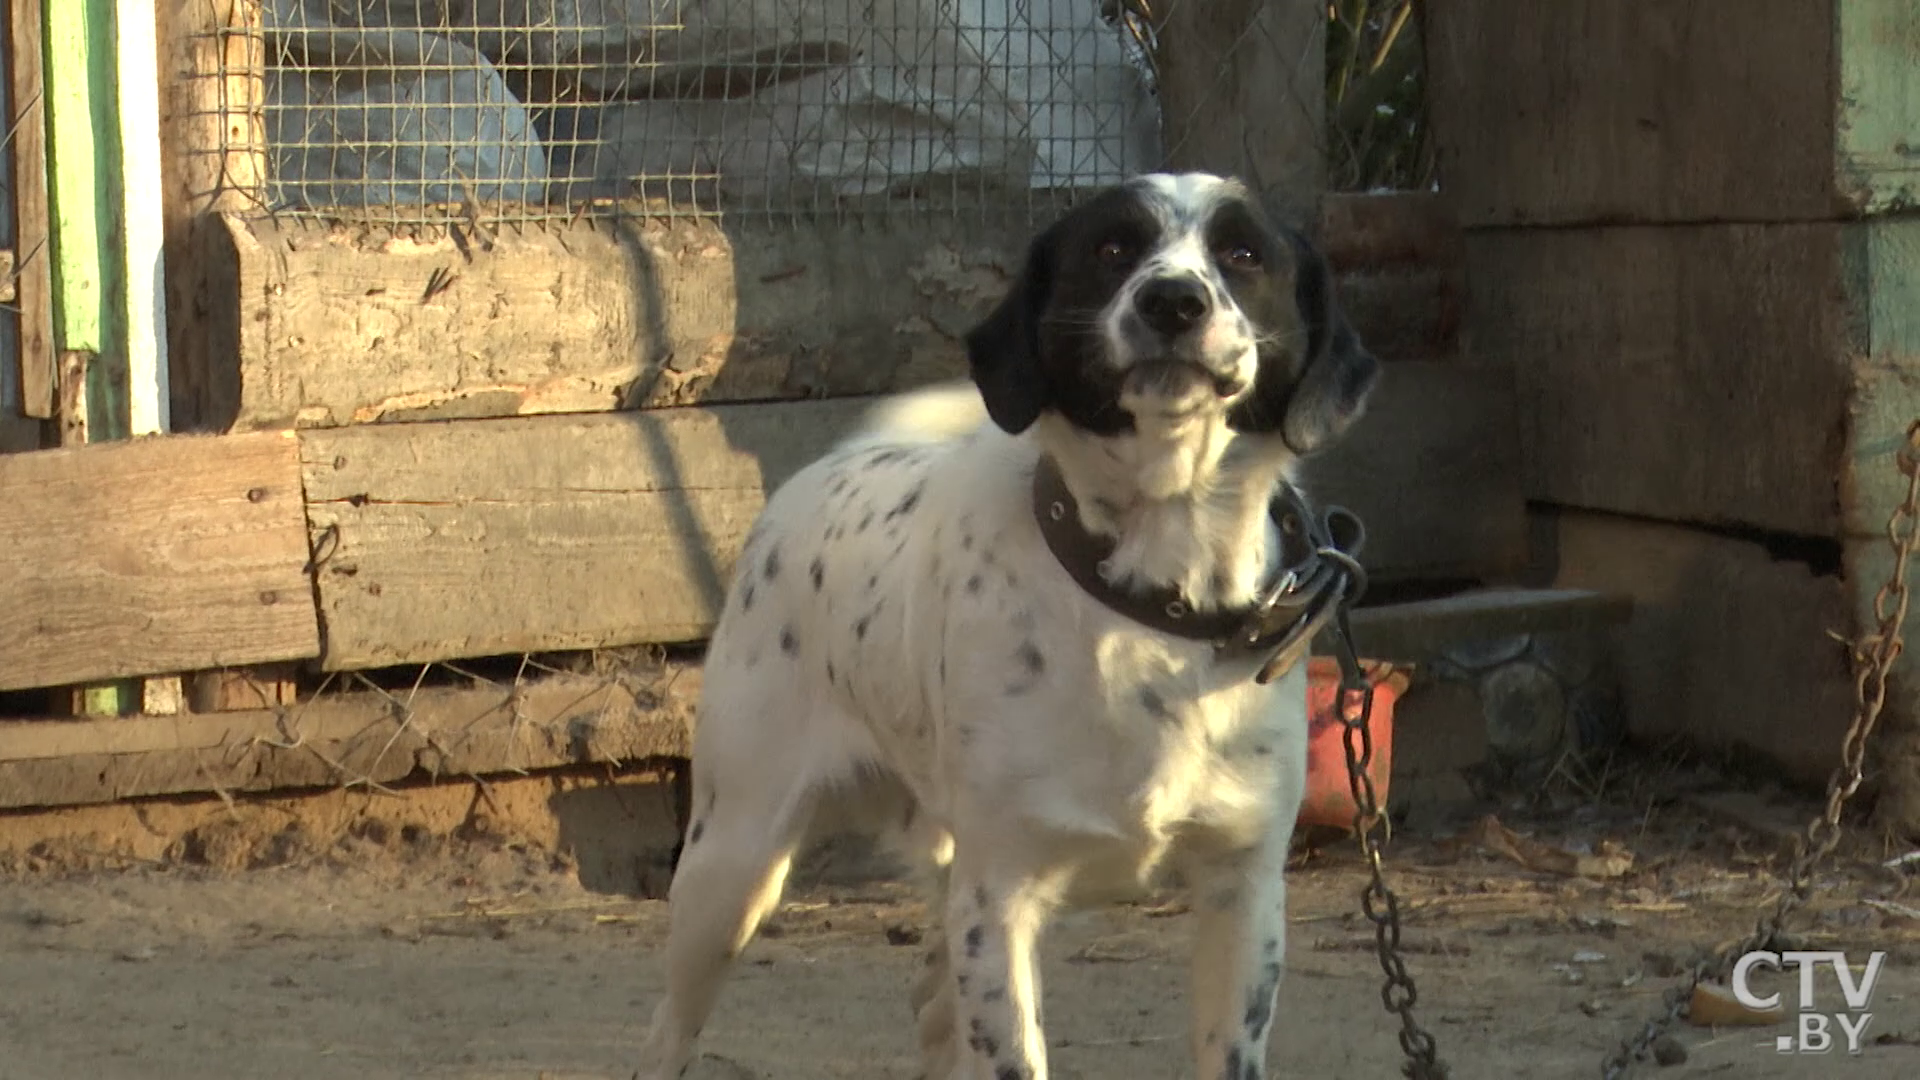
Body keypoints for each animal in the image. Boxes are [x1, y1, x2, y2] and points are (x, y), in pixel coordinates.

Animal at [645, 171, 1382, 1068]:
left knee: (932, 1007)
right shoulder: (1000, 899)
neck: (1143, 599)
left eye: (1244, 254)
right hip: (732, 866)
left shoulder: (1242, 899)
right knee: (671, 1029)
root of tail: (831, 464)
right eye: (1111, 248)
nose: (1173, 300)